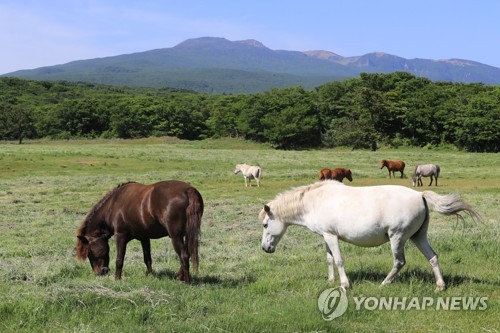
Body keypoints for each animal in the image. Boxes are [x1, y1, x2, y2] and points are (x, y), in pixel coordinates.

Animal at [75, 179, 203, 282]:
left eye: (89, 252)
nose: (99, 272)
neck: (113, 205)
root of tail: (189, 190)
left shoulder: (120, 236)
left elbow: (119, 259)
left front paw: (117, 279)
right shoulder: (144, 238)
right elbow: (147, 258)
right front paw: (151, 276)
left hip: (176, 236)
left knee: (184, 255)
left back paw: (187, 282)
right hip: (187, 234)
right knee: (188, 253)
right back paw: (179, 277)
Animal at [260, 179, 478, 290]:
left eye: (265, 224)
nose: (265, 248)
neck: (314, 200)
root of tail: (420, 195)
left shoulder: (331, 236)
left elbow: (338, 260)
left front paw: (344, 285)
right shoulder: (326, 236)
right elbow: (329, 260)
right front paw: (330, 280)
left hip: (397, 238)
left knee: (399, 262)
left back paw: (384, 283)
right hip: (418, 237)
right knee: (432, 257)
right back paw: (440, 286)